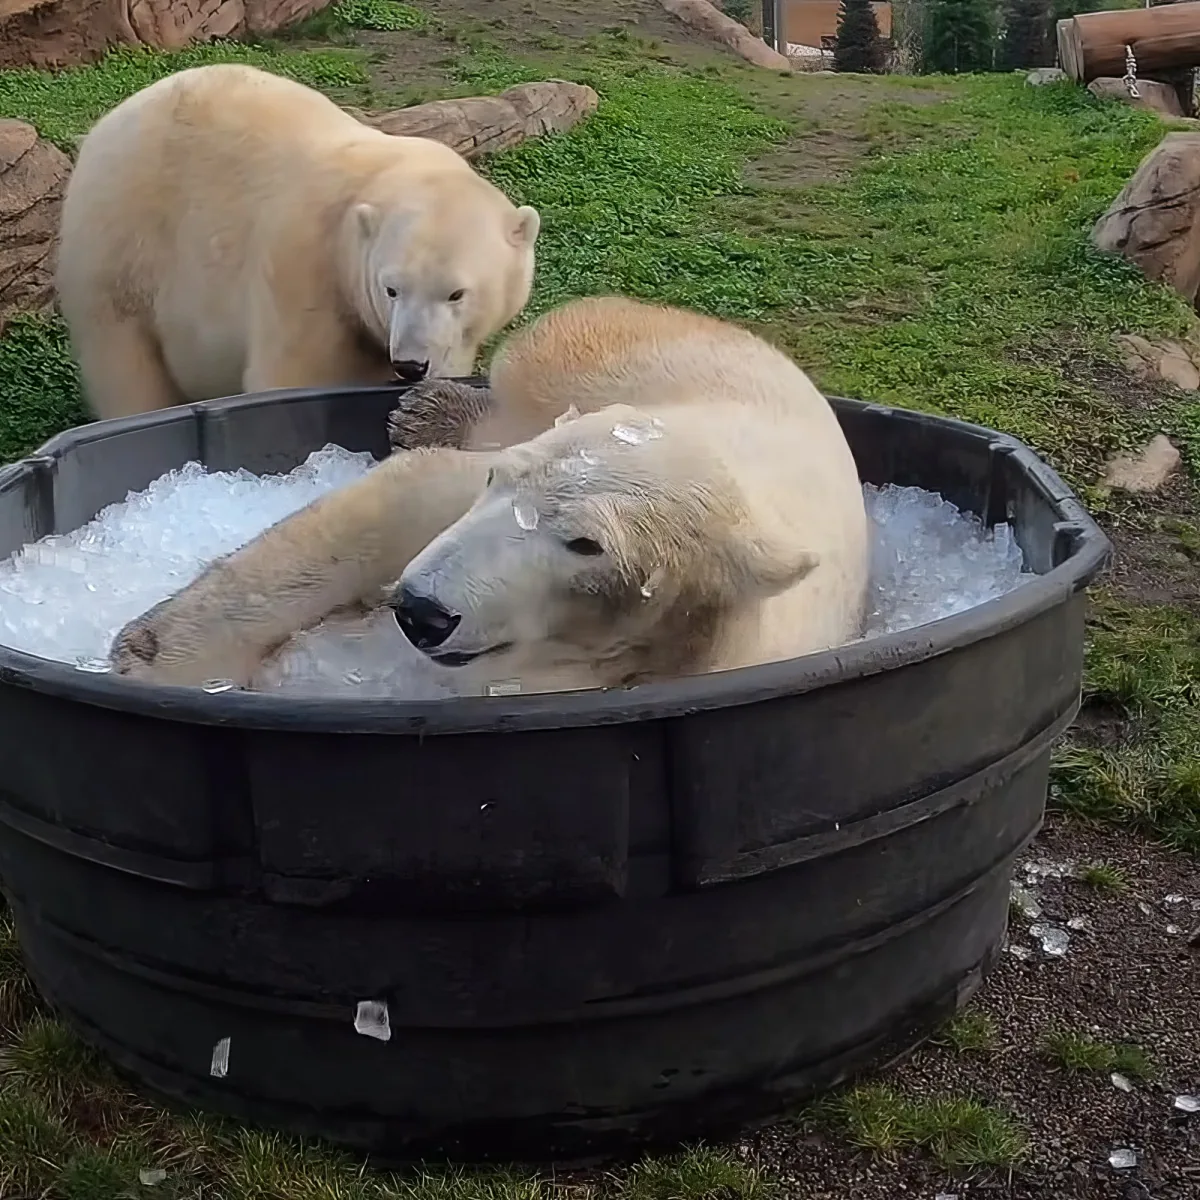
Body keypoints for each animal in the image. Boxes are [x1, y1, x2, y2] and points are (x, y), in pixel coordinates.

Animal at [55, 62, 542, 420]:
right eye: (391, 288)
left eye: (456, 293)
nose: (409, 365)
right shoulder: (302, 270)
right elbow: (291, 375)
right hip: (120, 242)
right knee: (125, 362)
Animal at [108, 296, 870, 694]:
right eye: (497, 485)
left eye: (587, 545)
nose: (421, 612)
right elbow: (404, 502)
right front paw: (152, 659)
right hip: (618, 348)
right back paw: (428, 410)